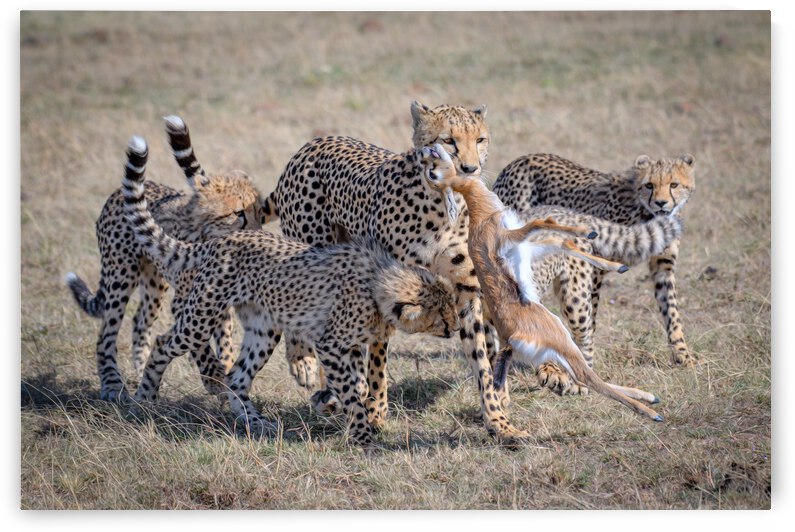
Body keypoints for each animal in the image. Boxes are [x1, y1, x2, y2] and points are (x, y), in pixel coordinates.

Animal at [66, 115, 263, 401]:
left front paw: (225, 368)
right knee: (106, 334)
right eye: (238, 213)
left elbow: (223, 338)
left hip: (155, 283)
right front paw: (213, 376)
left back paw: (141, 370)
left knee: (140, 321)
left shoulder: (218, 300)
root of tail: (117, 193)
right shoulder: (186, 301)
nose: (258, 233)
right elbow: (201, 344)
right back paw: (113, 384)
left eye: (260, 212)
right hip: (120, 277)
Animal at [121, 135, 459, 447]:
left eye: (453, 307)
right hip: (202, 318)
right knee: (163, 343)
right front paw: (362, 433)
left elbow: (359, 382)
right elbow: (351, 389)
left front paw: (342, 408)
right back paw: (144, 398)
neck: (383, 283)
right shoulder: (330, 344)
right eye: (442, 315)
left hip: (264, 328)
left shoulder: (347, 344)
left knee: (238, 378)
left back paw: (258, 424)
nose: (456, 327)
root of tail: (220, 241)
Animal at [256, 100, 531, 441]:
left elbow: (480, 359)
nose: (470, 169)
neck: (441, 203)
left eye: (479, 139)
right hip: (313, 247)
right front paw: (374, 412)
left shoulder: (466, 291)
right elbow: (377, 358)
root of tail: (313, 143)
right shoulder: (388, 285)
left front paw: (498, 421)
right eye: (448, 140)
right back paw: (305, 365)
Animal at [492, 152, 696, 373]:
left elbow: (671, 311)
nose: (661, 203)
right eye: (649, 185)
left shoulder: (664, 267)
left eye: (674, 184)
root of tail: (521, 159)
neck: (642, 209)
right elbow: (591, 313)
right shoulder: (595, 265)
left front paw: (683, 356)